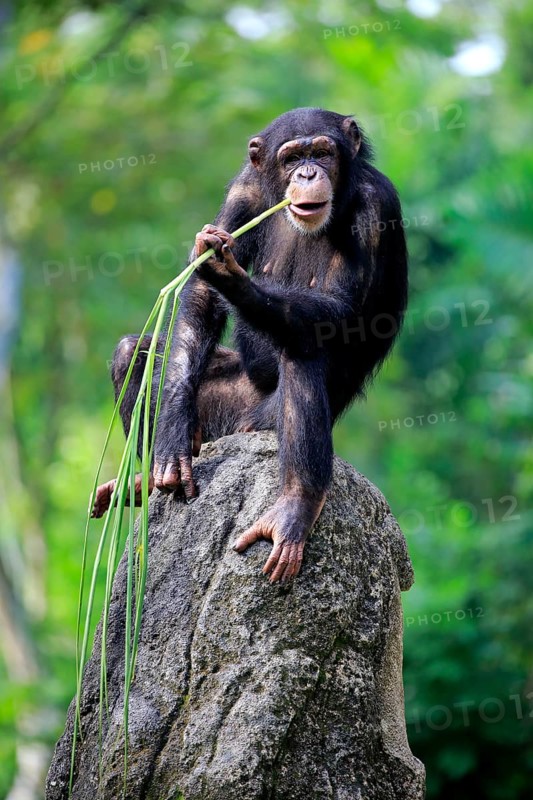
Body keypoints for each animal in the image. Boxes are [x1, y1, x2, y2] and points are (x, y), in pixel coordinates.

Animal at [92, 107, 408, 584]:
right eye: (292, 157)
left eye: (323, 152)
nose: (308, 172)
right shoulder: (245, 187)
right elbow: (200, 298)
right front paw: (172, 433)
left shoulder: (376, 207)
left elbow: (340, 307)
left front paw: (229, 274)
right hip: (218, 422)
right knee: (132, 353)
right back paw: (145, 479)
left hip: (259, 423)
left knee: (303, 352)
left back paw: (295, 508)